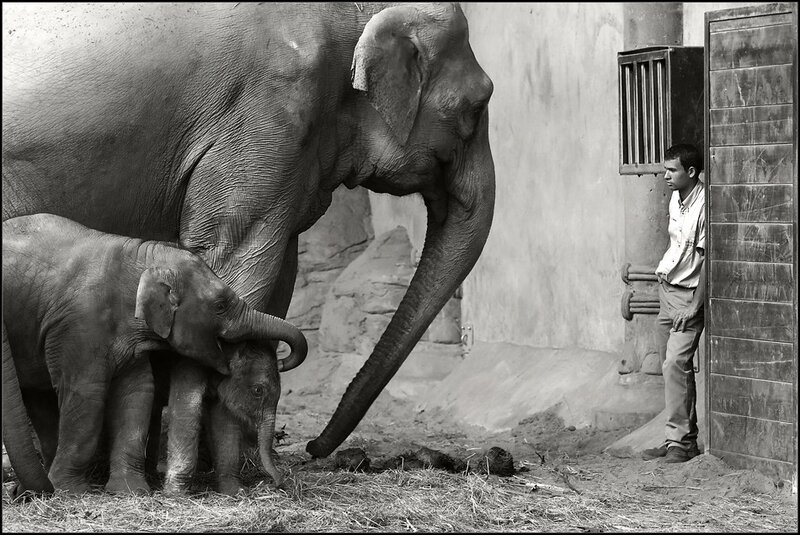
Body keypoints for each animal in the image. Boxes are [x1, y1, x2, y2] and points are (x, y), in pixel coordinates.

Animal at [2, 213, 307, 495]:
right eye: (220, 305)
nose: (280, 484)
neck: (142, 256)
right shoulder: (81, 326)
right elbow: (86, 394)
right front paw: (72, 492)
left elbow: (137, 392)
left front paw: (131, 491)